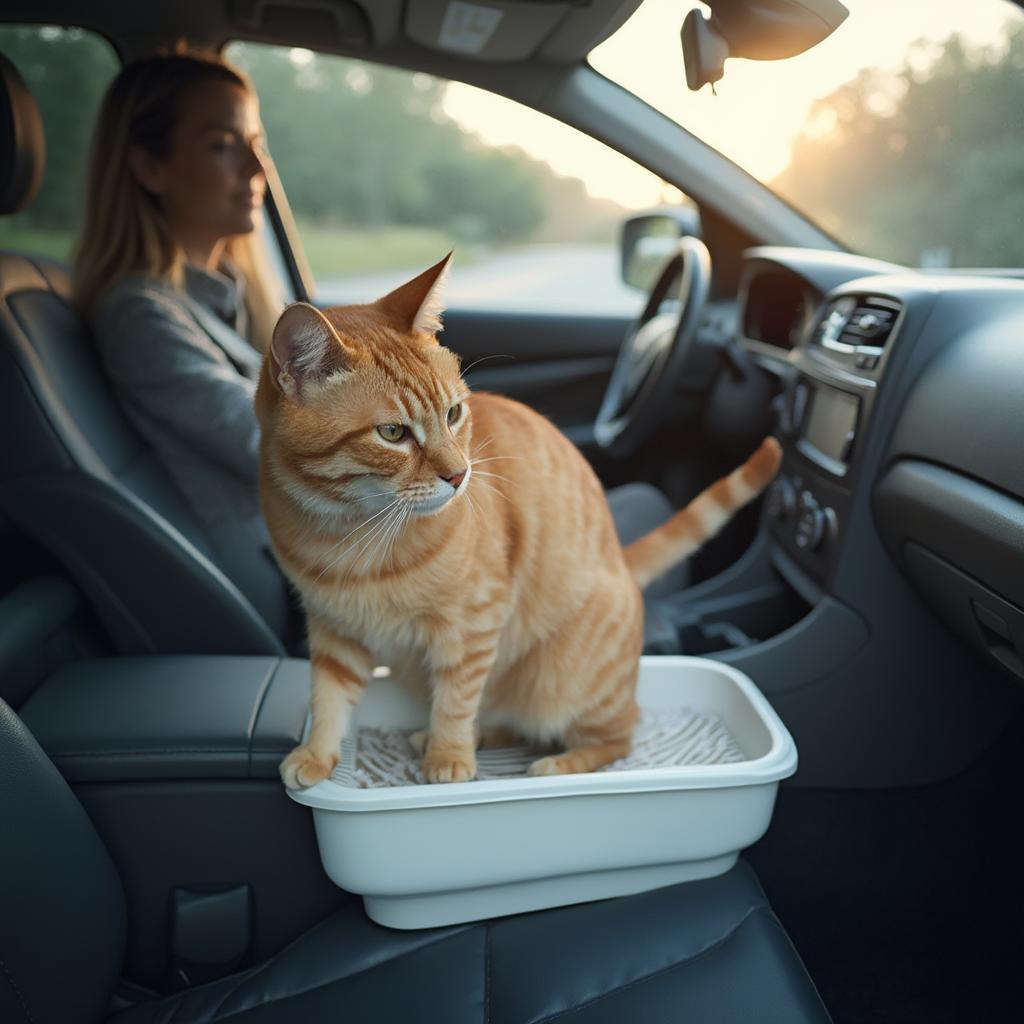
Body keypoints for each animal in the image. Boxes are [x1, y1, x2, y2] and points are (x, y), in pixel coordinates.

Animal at [258, 251, 782, 786]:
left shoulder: (473, 622)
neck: (350, 531)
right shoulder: (332, 630)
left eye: (453, 414)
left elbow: (456, 698)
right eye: (392, 433)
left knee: (618, 736)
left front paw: (449, 756)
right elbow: (327, 697)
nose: (459, 475)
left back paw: (556, 763)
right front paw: (317, 753)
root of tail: (619, 560)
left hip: (566, 683)